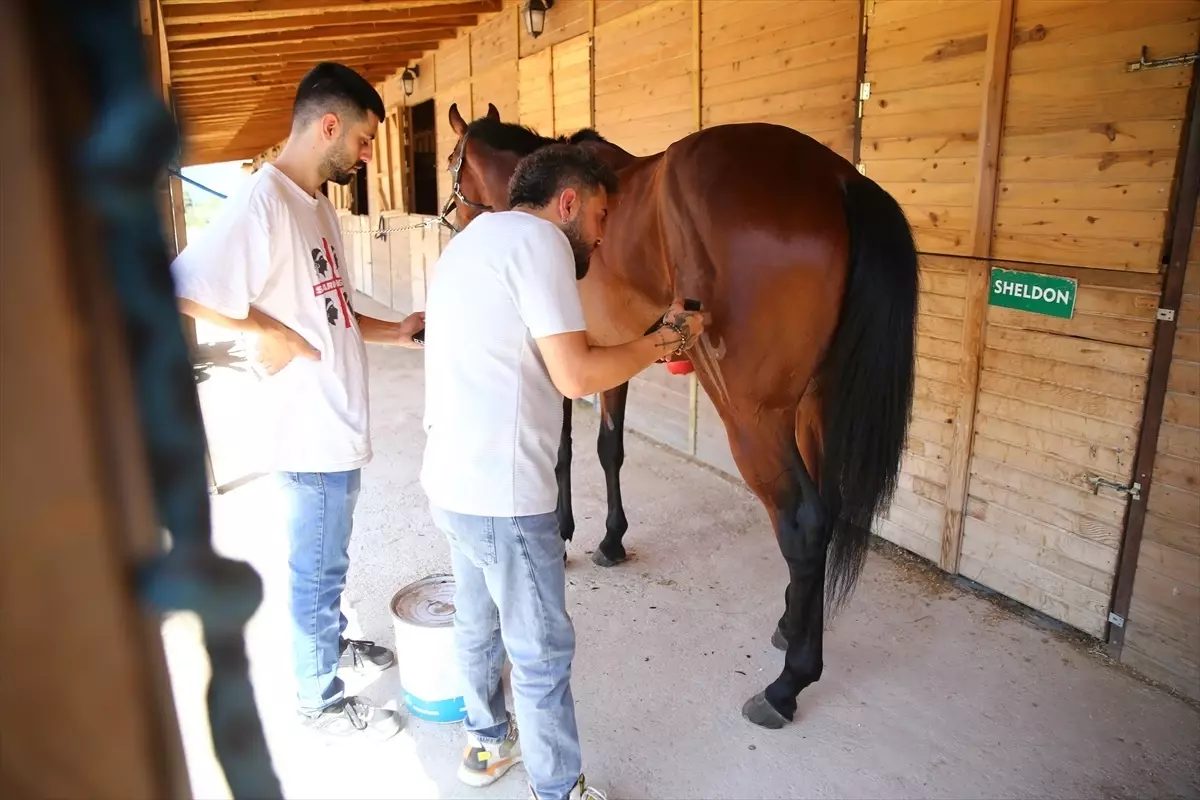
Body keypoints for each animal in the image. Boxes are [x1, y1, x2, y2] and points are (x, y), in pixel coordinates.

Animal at [437, 102, 919, 729]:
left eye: (452, 159)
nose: (452, 224)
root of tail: (838, 179)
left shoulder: (559, 366)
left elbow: (562, 451)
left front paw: (565, 535)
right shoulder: (608, 359)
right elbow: (609, 450)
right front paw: (612, 540)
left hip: (753, 415)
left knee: (804, 521)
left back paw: (787, 684)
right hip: (814, 405)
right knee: (826, 511)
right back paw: (790, 623)